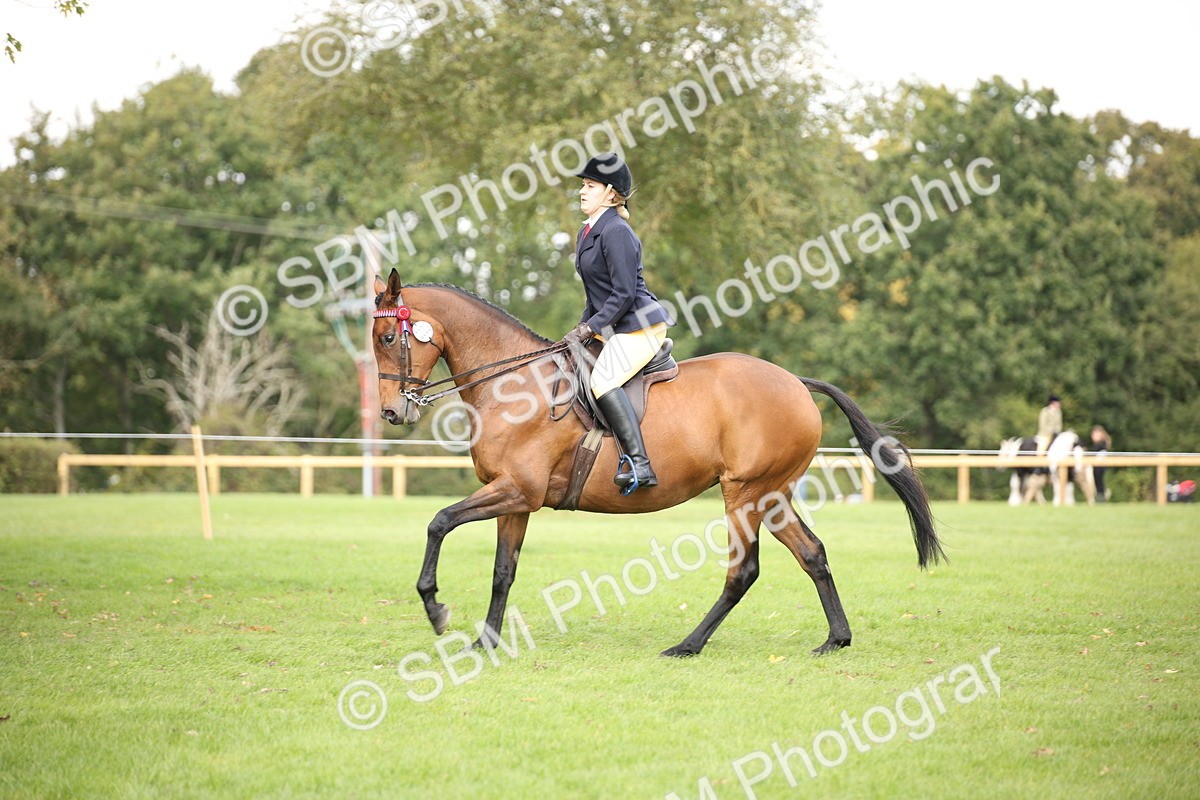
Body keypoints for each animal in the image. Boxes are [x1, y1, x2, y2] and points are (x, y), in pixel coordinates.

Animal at [371, 272, 945, 657]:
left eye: (387, 338)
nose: (392, 412)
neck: (515, 387)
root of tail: (796, 383)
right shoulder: (516, 498)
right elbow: (502, 572)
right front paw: (486, 642)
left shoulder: (517, 490)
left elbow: (439, 522)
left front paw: (436, 609)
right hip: (773, 494)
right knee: (813, 553)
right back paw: (836, 639)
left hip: (744, 494)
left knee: (744, 570)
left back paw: (688, 645)